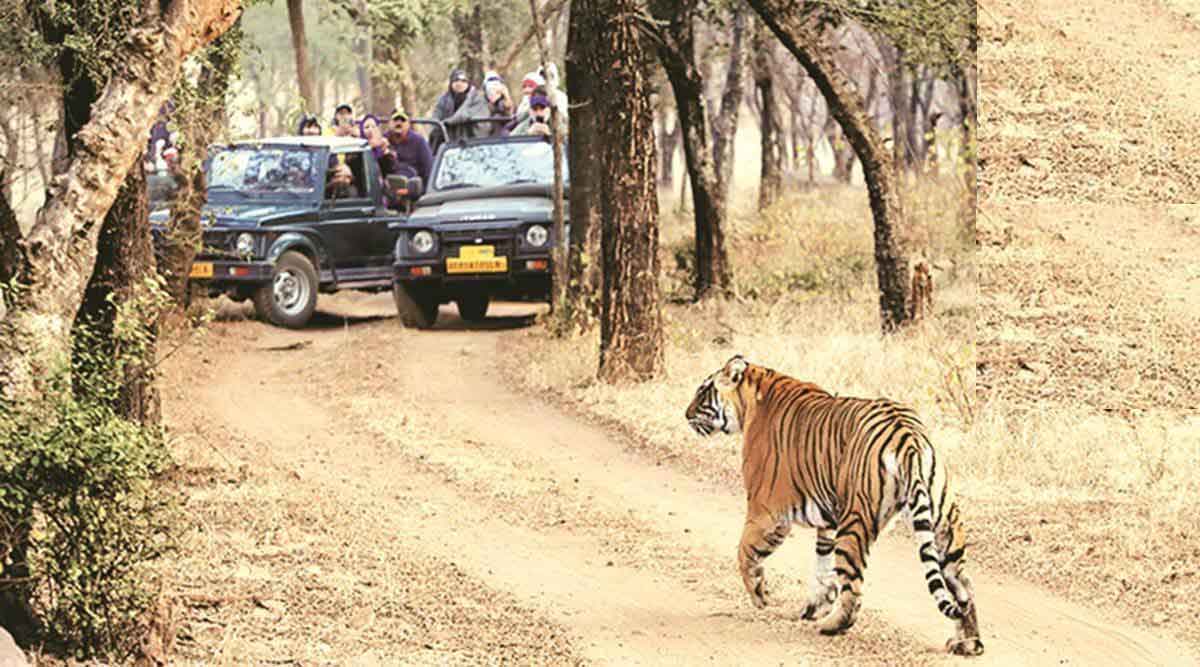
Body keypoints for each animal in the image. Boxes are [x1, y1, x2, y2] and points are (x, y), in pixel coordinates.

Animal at [686, 357, 984, 652]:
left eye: (702, 391)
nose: (686, 415)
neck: (752, 394)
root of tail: (908, 435)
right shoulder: (827, 520)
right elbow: (822, 566)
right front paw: (814, 606)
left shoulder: (766, 512)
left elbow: (744, 552)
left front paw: (760, 594)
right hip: (943, 525)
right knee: (963, 586)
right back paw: (968, 642)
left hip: (855, 522)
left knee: (854, 586)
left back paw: (833, 626)